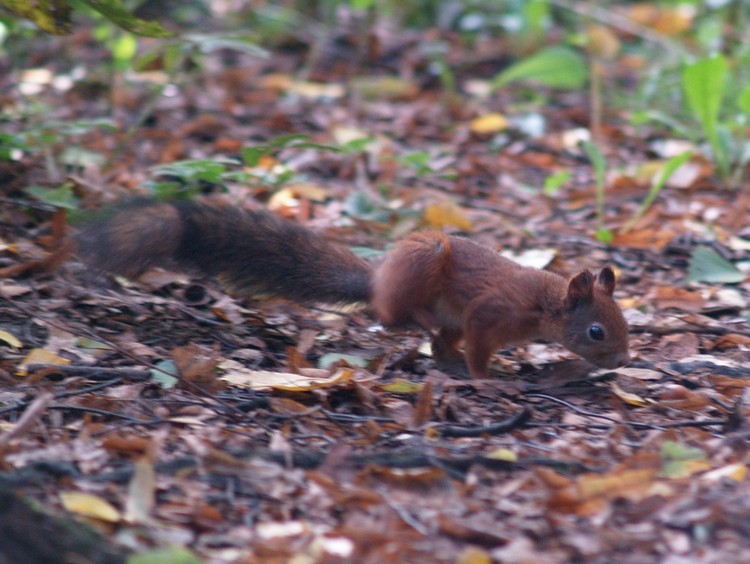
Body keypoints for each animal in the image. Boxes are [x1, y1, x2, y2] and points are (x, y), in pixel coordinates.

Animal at [78, 199, 628, 378]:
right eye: (597, 332)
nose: (623, 361)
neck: (544, 306)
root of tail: (378, 279)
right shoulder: (490, 311)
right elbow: (480, 347)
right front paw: (488, 378)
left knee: (432, 339)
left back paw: (442, 354)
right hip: (424, 264)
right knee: (391, 315)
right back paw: (422, 327)